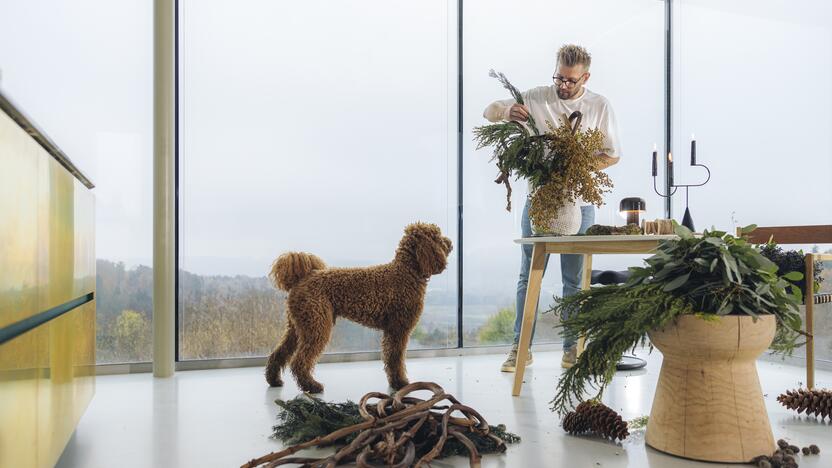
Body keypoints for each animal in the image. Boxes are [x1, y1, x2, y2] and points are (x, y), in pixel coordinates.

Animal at [266, 221, 452, 394]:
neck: (407, 271)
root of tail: (302, 278)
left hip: (298, 326)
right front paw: (400, 383)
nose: (450, 243)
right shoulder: (399, 329)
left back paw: (274, 380)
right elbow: (396, 358)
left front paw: (395, 382)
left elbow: (390, 357)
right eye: (437, 236)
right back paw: (312, 385)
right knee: (299, 361)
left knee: (278, 353)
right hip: (316, 324)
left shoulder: (392, 330)